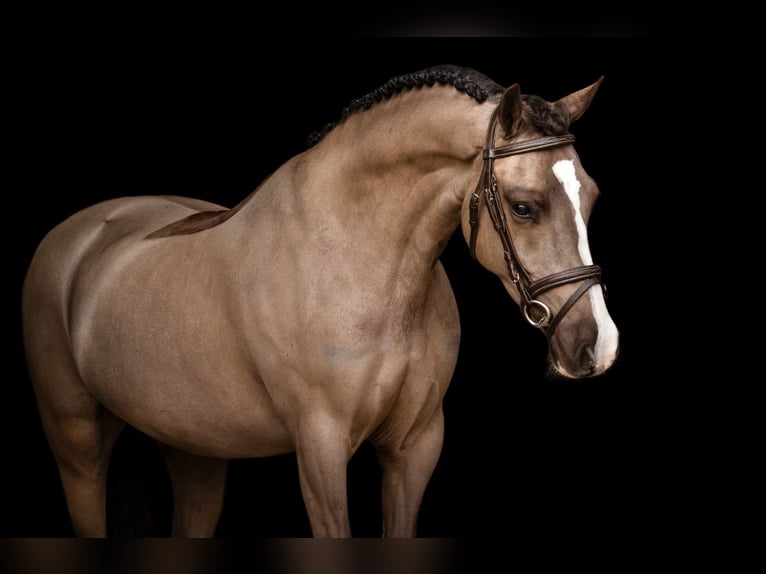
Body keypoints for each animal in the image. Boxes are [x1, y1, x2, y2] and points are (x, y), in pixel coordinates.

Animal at [21, 65, 619, 538]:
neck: (358, 261)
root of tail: (80, 233)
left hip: (196, 453)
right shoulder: (321, 449)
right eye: (523, 206)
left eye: (590, 195)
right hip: (76, 445)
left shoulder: (416, 447)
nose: (598, 344)